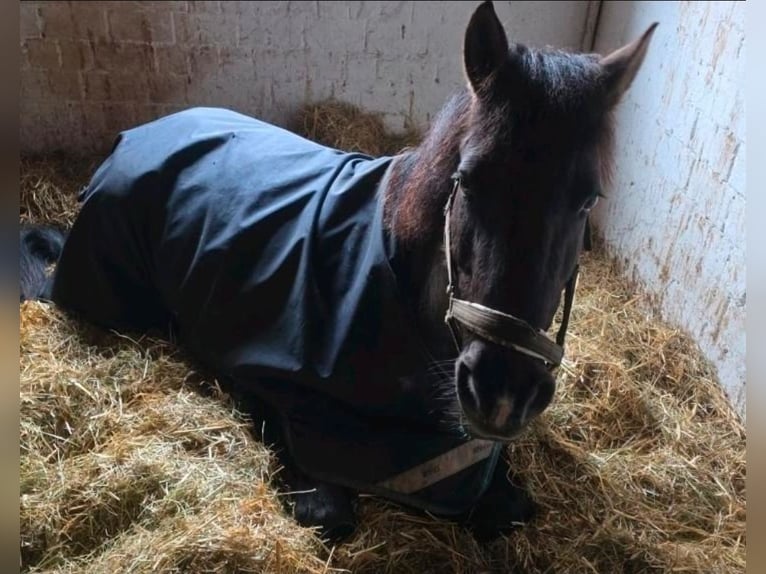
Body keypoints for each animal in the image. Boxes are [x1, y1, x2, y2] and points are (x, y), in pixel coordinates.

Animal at [20, 1, 656, 542]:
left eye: (587, 199)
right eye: (469, 180)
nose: (502, 393)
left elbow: (510, 507)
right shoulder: (266, 375)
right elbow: (324, 507)